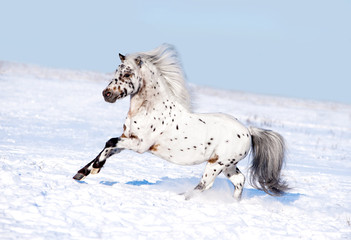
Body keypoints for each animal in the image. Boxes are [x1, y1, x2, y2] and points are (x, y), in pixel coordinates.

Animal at [73, 43, 288, 201]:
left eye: (127, 74)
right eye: (115, 72)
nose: (107, 94)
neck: (151, 109)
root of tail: (248, 131)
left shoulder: (139, 144)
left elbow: (109, 142)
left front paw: (94, 169)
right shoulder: (127, 138)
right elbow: (108, 148)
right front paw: (82, 173)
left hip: (217, 164)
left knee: (206, 184)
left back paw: (181, 197)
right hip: (228, 165)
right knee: (239, 180)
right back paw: (233, 202)